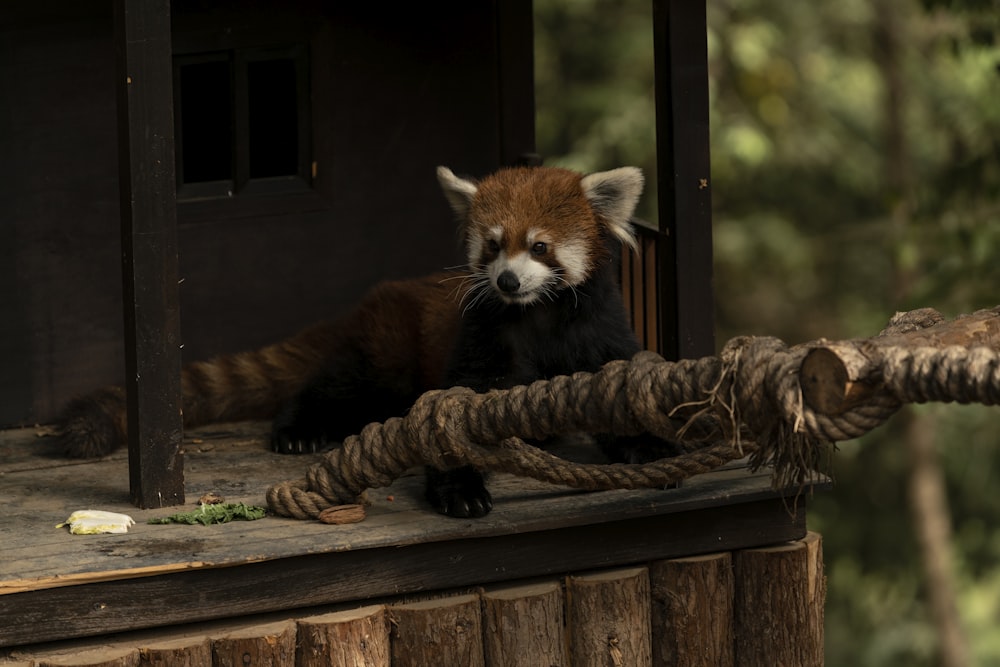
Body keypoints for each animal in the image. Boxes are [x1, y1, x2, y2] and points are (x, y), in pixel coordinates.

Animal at [56, 164, 664, 520]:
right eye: (492, 246)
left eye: (539, 247)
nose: (508, 282)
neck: (535, 316)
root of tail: (374, 300)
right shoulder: (483, 337)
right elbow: (452, 420)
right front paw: (460, 490)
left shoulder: (597, 327)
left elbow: (617, 384)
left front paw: (647, 444)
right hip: (388, 352)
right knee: (337, 386)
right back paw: (299, 429)